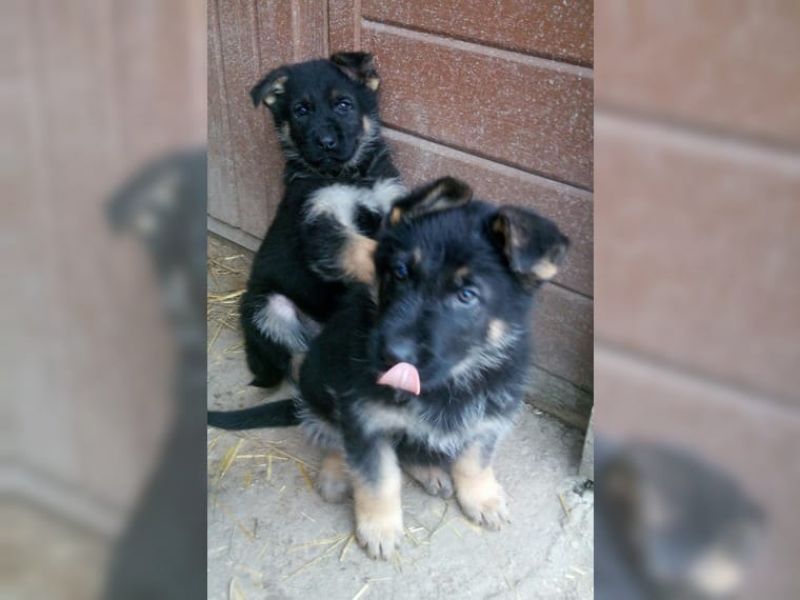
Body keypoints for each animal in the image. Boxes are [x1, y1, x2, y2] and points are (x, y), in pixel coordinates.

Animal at [209, 177, 569, 559]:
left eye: (467, 295)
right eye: (399, 273)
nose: (388, 354)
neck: (446, 384)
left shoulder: (491, 413)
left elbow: (475, 460)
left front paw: (482, 497)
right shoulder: (366, 419)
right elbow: (378, 478)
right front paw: (380, 528)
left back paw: (429, 470)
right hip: (316, 379)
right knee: (335, 435)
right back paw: (338, 472)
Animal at [241, 52, 405, 388]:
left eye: (344, 104)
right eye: (300, 111)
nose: (326, 142)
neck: (351, 174)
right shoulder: (321, 224)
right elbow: (361, 248)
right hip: (269, 307)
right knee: (296, 361)